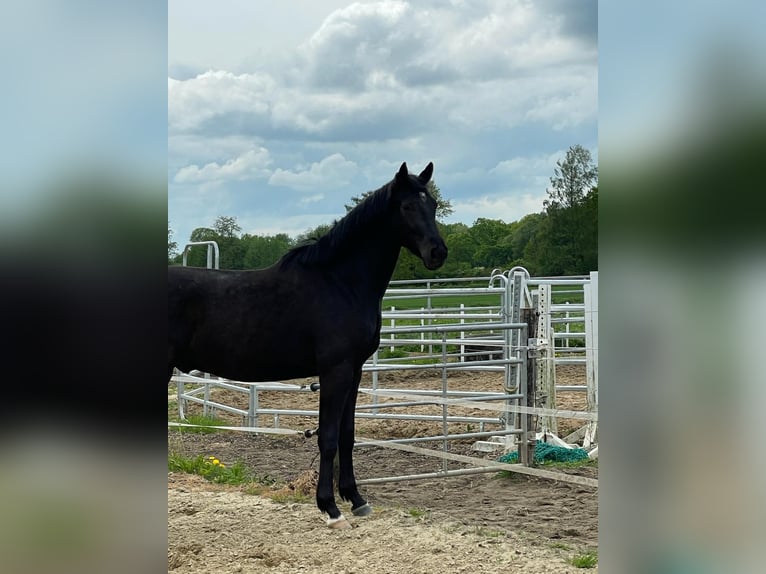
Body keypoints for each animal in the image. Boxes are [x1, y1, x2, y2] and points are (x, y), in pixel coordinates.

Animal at [170, 162, 450, 532]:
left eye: (432, 204)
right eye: (406, 206)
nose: (438, 253)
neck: (340, 283)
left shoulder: (354, 371)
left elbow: (347, 435)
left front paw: (356, 500)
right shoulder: (335, 371)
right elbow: (327, 437)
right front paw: (330, 509)